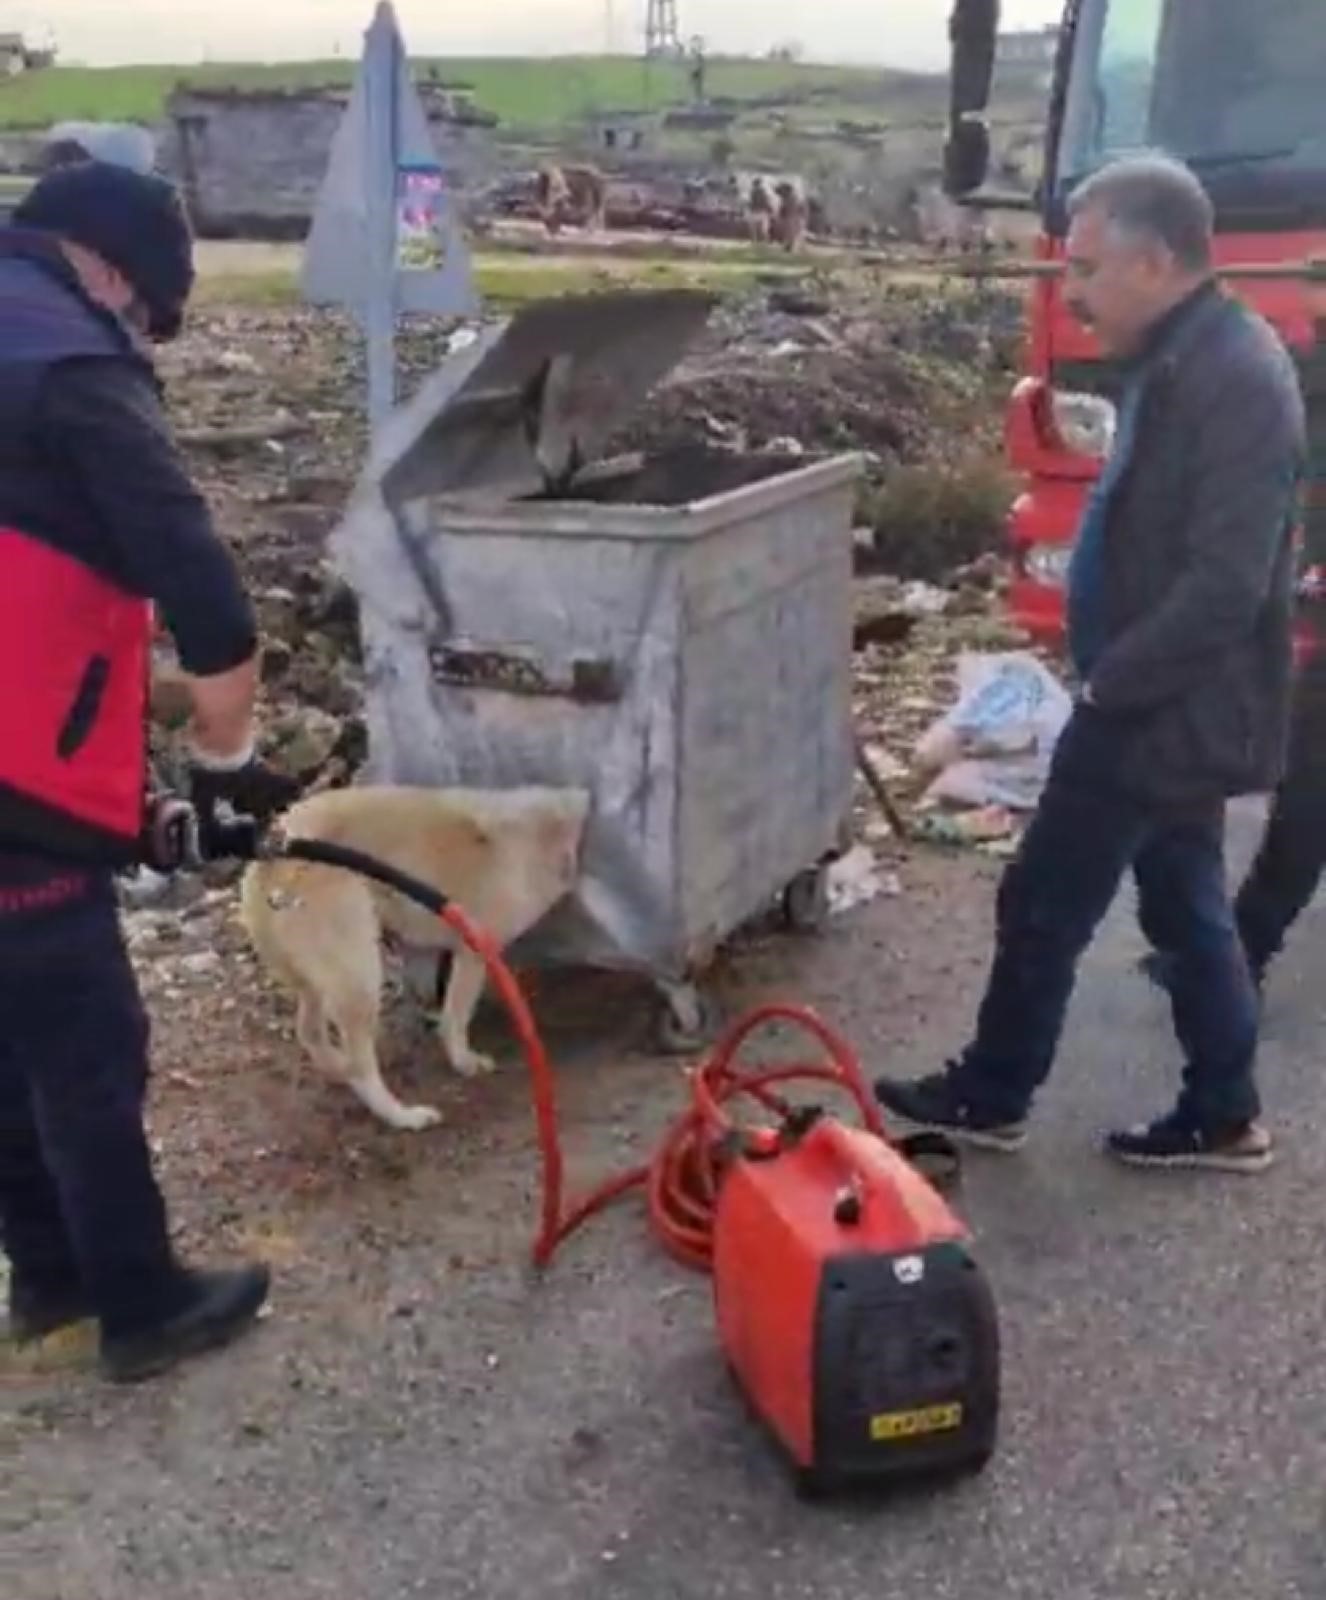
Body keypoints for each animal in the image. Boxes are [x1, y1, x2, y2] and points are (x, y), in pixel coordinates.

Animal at [239, 780, 588, 1132]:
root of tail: (268, 859)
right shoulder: (473, 951)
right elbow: (456, 1017)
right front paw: (464, 1062)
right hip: (360, 978)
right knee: (361, 1068)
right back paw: (403, 1115)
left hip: (315, 982)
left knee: (310, 1031)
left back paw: (338, 1067)